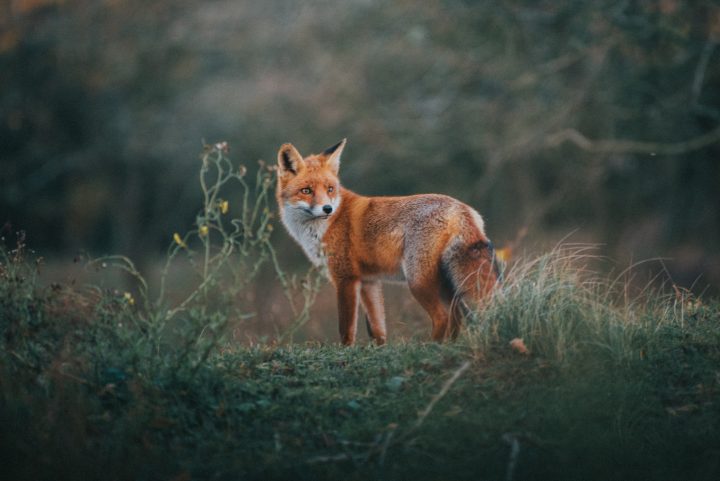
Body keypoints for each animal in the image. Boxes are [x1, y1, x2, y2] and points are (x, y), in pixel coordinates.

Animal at [276, 139, 500, 344]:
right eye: (306, 191)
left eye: (330, 189)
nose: (327, 209)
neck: (326, 225)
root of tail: (462, 209)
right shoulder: (369, 281)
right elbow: (377, 329)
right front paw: (377, 351)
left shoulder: (345, 278)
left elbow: (346, 329)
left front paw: (345, 353)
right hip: (446, 282)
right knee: (458, 316)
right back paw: (448, 346)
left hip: (418, 282)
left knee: (443, 317)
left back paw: (430, 347)